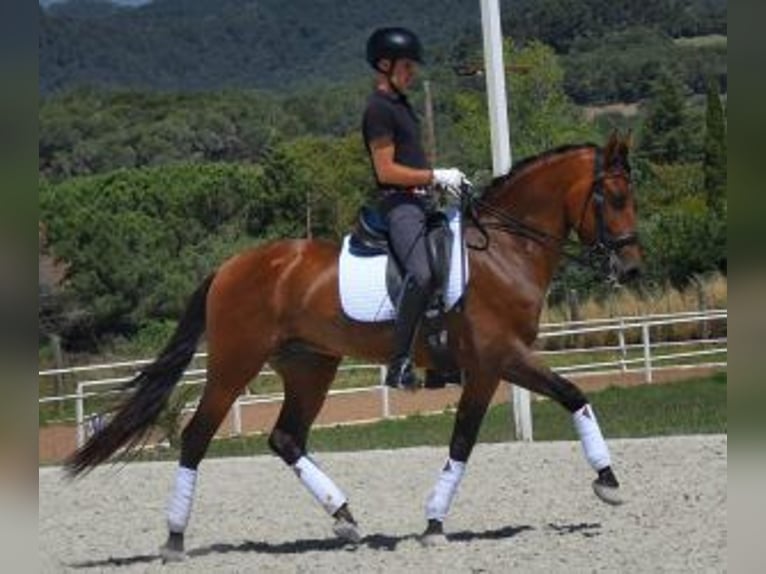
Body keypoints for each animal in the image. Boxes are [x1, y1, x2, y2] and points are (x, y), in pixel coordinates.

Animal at [65, 131, 641, 560]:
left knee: (286, 438)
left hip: (310, 366)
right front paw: (435, 523)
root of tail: (229, 267)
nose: (632, 268)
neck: (502, 250)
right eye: (614, 198)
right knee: (195, 437)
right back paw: (175, 538)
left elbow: (567, 399)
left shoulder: (503, 362)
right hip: (234, 365)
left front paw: (607, 480)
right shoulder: (495, 361)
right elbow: (472, 436)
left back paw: (344, 517)